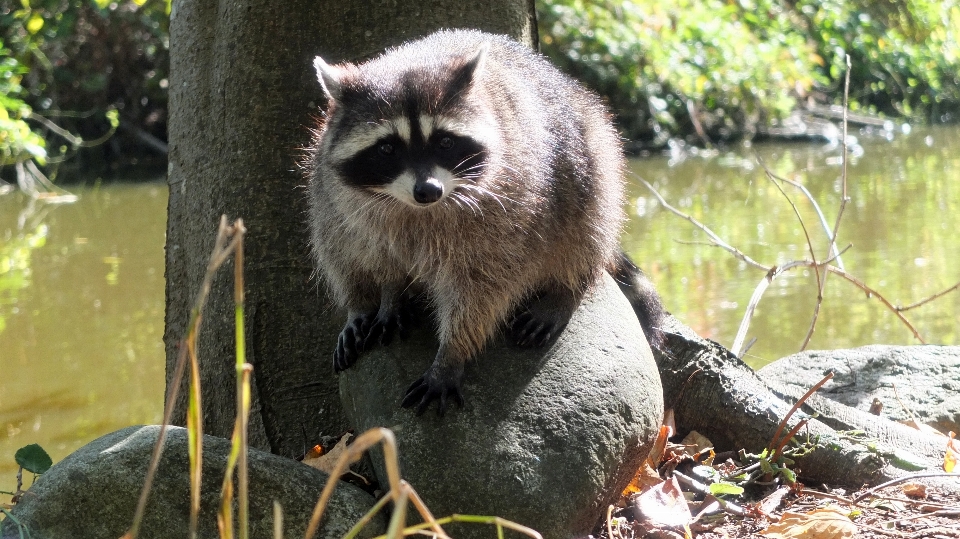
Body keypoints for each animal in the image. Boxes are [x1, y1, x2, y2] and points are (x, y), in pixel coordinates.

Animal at [310, 28, 668, 418]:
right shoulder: (332, 200)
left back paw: (566, 289)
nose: (428, 190)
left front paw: (451, 354)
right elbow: (350, 256)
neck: (411, 207)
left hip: (590, 158)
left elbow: (481, 289)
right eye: (388, 148)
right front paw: (371, 301)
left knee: (587, 226)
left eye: (445, 142)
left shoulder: (506, 211)